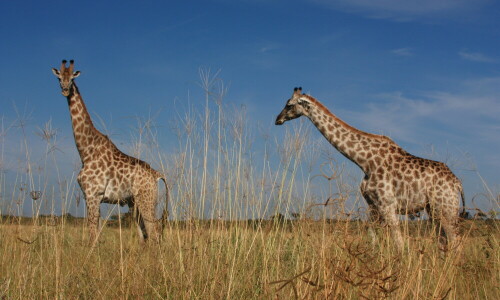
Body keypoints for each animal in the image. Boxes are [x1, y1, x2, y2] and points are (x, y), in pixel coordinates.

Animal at [51, 59, 168, 245]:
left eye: (72, 78)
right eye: (59, 77)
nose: (65, 89)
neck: (86, 151)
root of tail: (157, 174)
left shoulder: (92, 194)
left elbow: (92, 232)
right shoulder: (93, 197)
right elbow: (96, 232)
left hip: (147, 200)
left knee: (154, 232)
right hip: (134, 202)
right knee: (144, 235)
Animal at [274, 87, 464, 251]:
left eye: (289, 104)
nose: (278, 119)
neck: (364, 161)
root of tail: (458, 183)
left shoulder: (387, 204)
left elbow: (399, 243)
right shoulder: (373, 205)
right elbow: (371, 237)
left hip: (446, 209)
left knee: (455, 241)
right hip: (434, 210)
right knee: (443, 240)